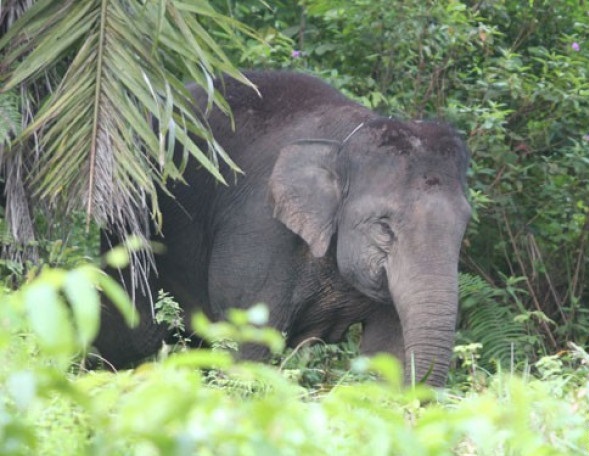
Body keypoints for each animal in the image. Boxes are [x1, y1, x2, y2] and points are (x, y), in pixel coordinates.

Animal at [94, 70, 470, 384]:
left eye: (463, 228)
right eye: (384, 226)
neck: (343, 144)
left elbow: (387, 350)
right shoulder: (257, 231)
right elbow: (249, 341)